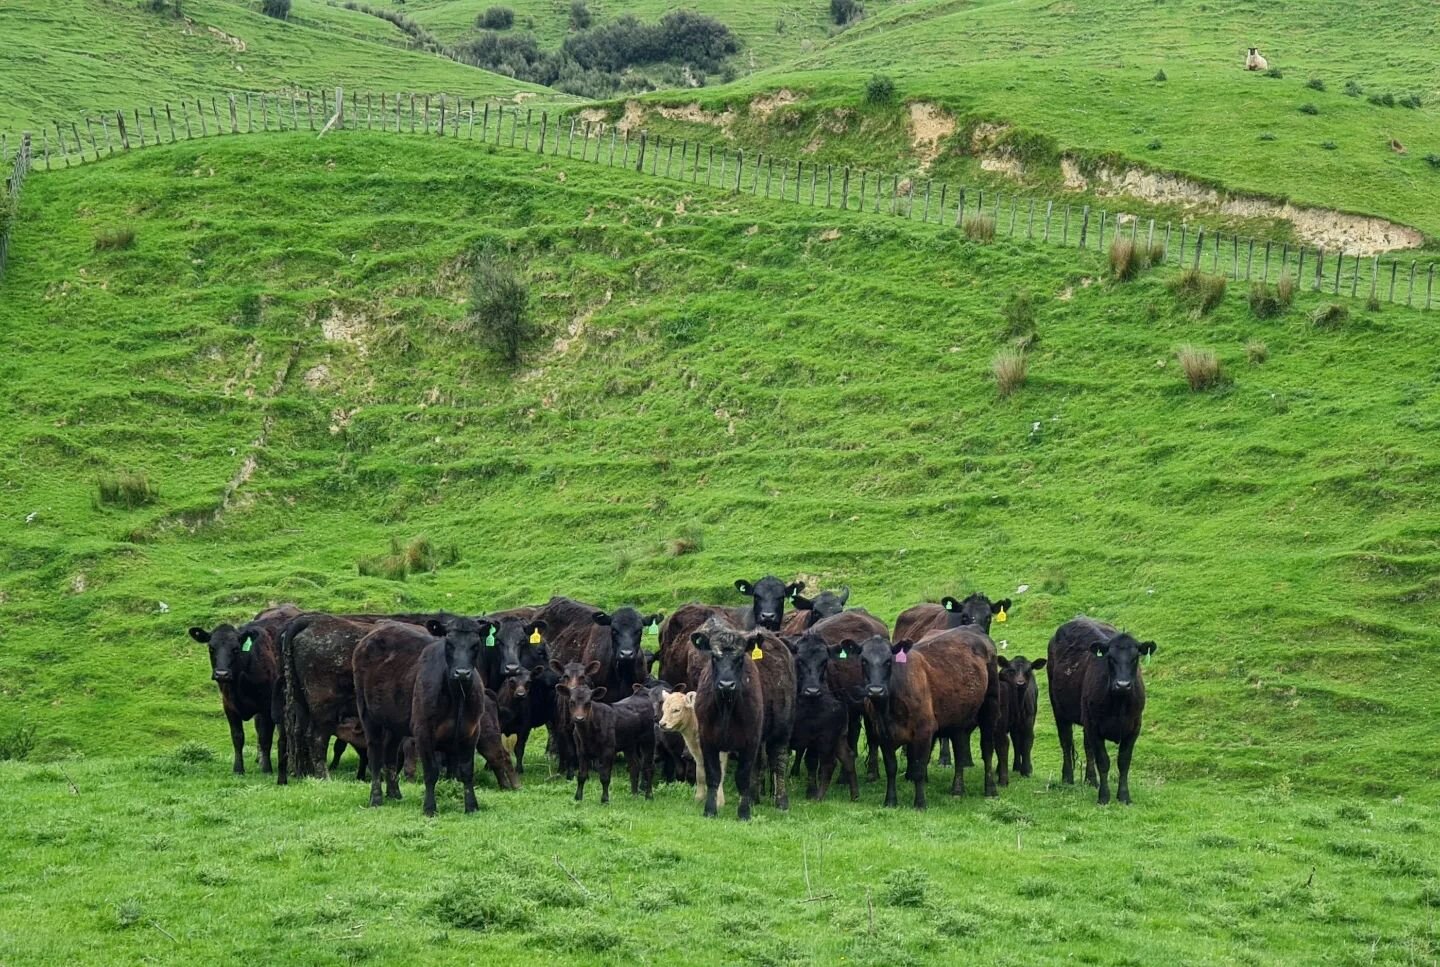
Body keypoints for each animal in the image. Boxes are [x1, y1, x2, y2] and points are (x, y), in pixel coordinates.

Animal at [187, 601, 299, 777]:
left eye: (235, 648)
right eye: (211, 648)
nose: (222, 674)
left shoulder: (266, 706)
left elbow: (265, 737)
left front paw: (267, 769)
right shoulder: (228, 706)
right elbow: (238, 737)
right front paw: (238, 769)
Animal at [1042, 615, 1152, 805]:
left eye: (1135, 657)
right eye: (1110, 658)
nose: (1123, 685)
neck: (1119, 704)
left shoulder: (1134, 727)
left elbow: (1123, 761)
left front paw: (1124, 796)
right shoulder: (1094, 726)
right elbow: (1103, 761)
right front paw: (1104, 796)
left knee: (1087, 748)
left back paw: (1091, 780)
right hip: (1059, 709)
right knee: (1066, 742)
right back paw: (1068, 778)